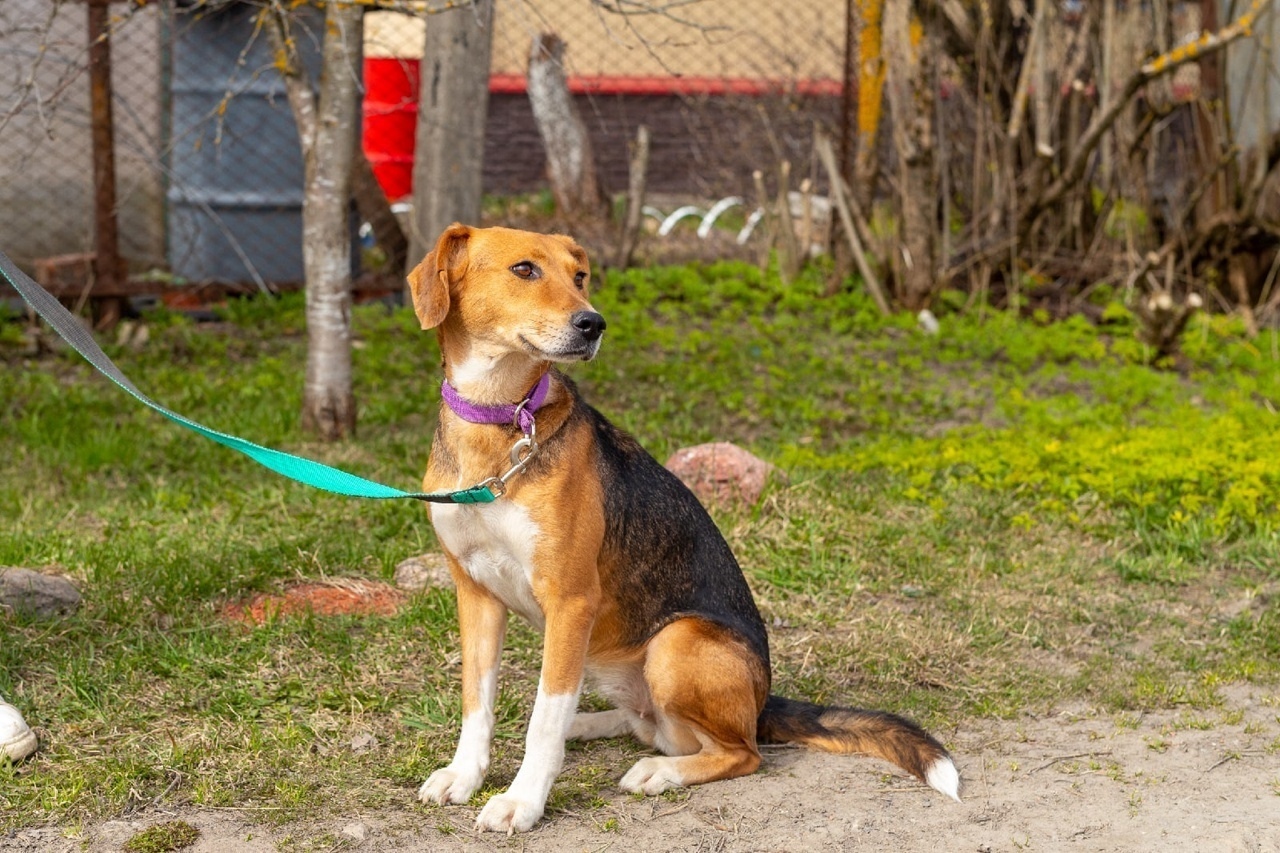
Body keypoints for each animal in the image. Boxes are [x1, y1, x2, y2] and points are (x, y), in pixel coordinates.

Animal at [404, 222, 957, 824]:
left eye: (580, 277)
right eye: (524, 270)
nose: (593, 323)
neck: (499, 421)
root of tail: (763, 701)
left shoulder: (570, 601)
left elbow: (543, 721)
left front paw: (523, 801)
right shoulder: (475, 592)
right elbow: (477, 704)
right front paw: (465, 774)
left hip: (674, 643)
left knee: (739, 752)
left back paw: (659, 772)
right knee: (649, 726)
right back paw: (592, 725)